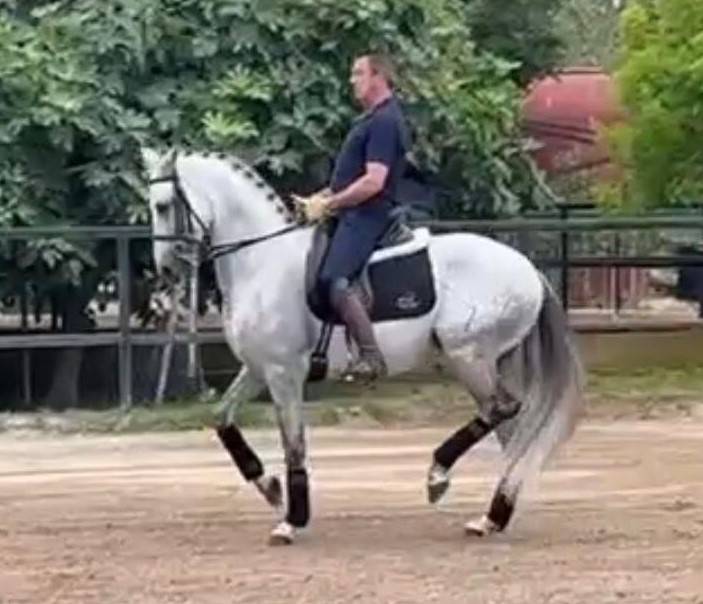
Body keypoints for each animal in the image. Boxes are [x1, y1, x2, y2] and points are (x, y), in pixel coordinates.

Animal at [143, 147, 585, 546]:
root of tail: (529, 270)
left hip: (468, 355)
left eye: (164, 205)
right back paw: (492, 516)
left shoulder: (284, 373)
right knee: (511, 430)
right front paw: (269, 486)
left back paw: (440, 476)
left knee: (501, 410)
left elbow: (294, 444)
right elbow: (222, 418)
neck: (261, 261)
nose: (165, 270)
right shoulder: (257, 368)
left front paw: (292, 521)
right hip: (489, 360)